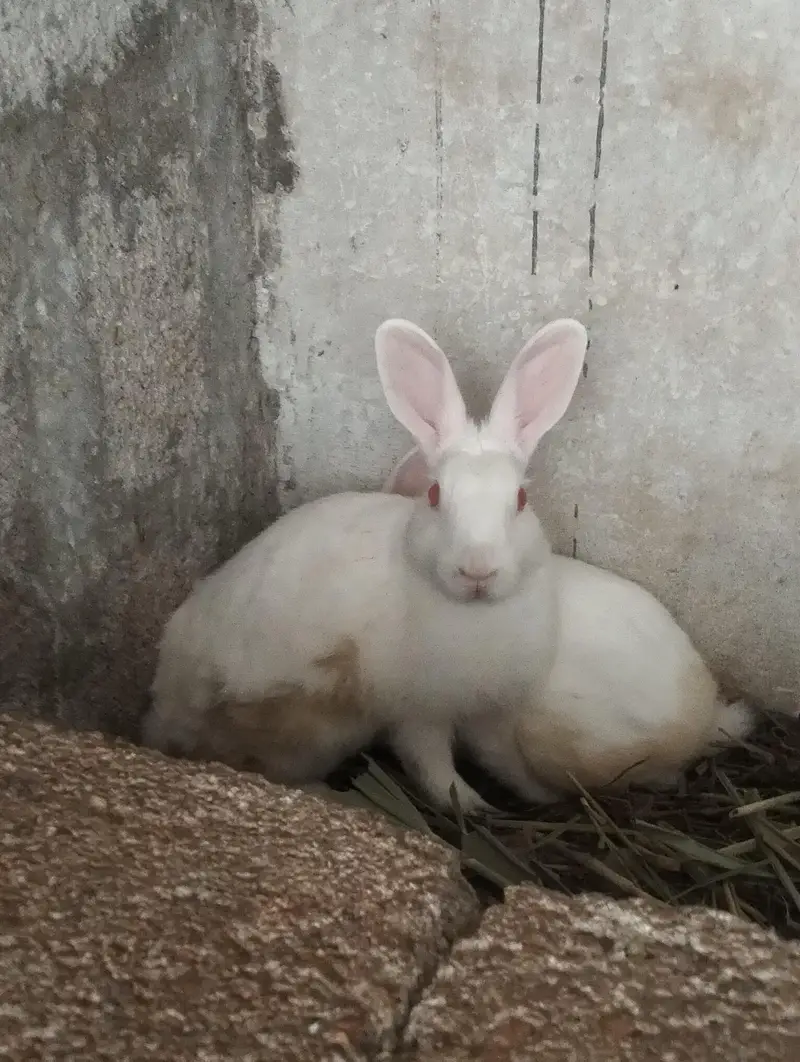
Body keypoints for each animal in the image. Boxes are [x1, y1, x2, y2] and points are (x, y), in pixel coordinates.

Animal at [142, 317, 590, 813]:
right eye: (435, 496)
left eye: (521, 499)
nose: (477, 571)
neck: (474, 615)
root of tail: (162, 716)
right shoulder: (418, 714)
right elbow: (433, 768)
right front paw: (473, 806)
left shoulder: (489, 712)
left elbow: (505, 759)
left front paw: (538, 796)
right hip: (308, 722)